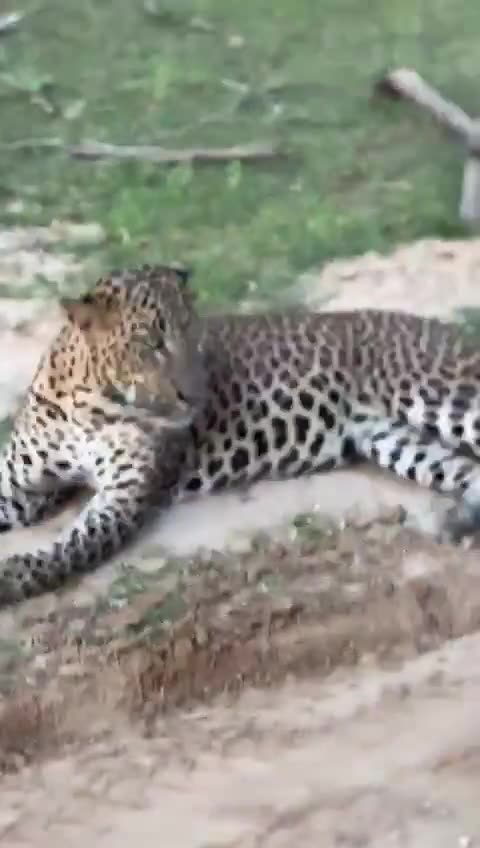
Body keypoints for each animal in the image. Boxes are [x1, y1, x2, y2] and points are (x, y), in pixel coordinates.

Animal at [2, 262, 480, 605]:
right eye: (150, 343)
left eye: (193, 333)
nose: (196, 395)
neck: (87, 402)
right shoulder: (20, 485)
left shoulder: (126, 492)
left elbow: (72, 548)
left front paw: (11, 578)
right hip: (393, 439)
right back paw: (459, 521)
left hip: (445, 396)